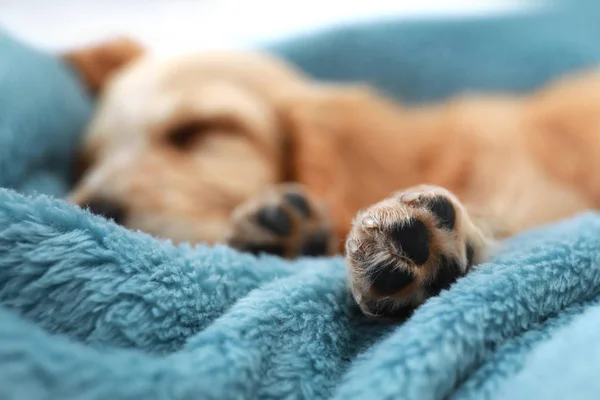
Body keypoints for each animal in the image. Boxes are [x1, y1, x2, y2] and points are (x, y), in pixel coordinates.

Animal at [67, 37, 600, 318]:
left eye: (199, 131)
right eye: (86, 160)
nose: (94, 208)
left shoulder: (532, 196)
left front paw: (428, 234)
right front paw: (280, 226)